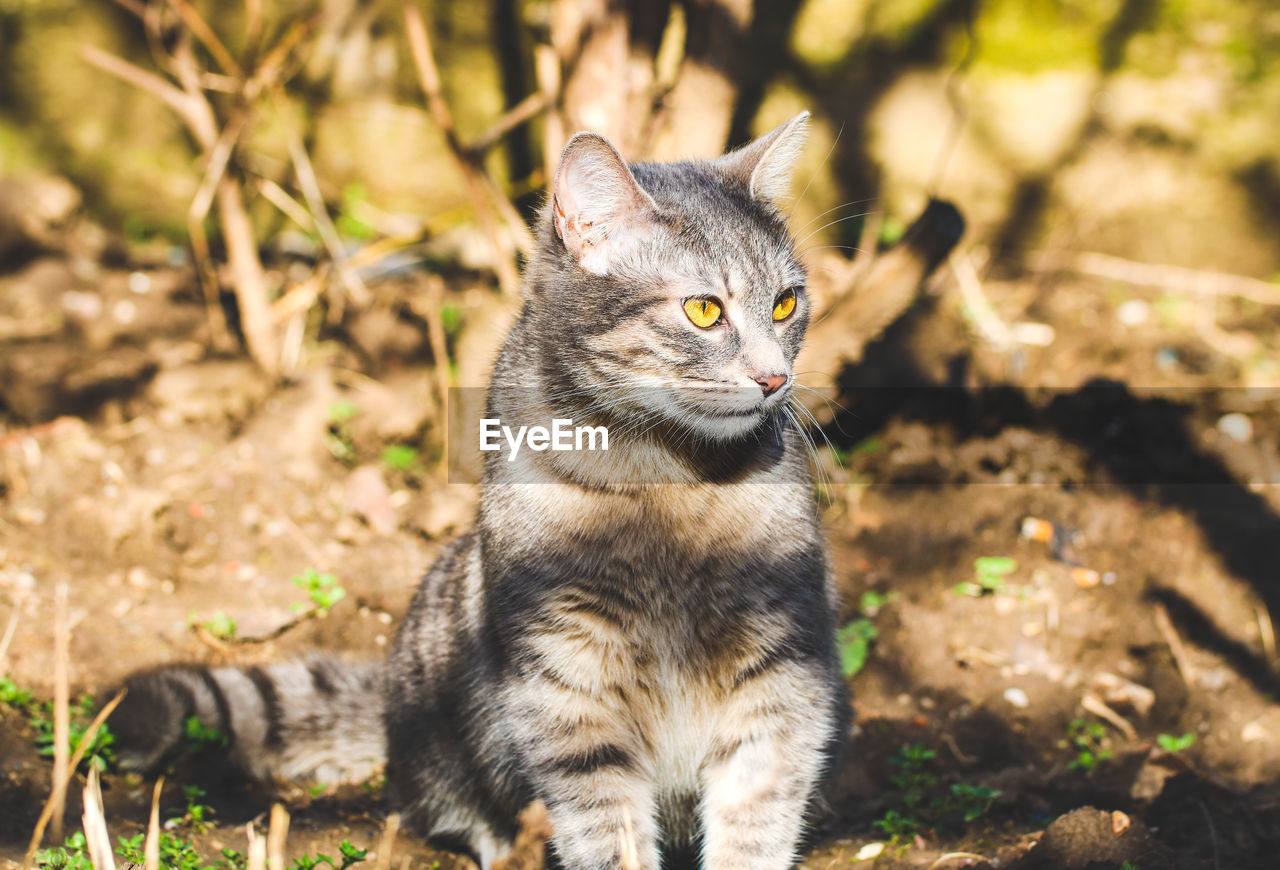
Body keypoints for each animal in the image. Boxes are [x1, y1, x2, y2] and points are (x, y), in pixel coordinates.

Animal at [110, 113, 849, 870]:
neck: (667, 482)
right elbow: (605, 831)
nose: (775, 378)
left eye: (786, 303)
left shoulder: (783, 667)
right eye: (704, 310)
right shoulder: (564, 678)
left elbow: (756, 816)